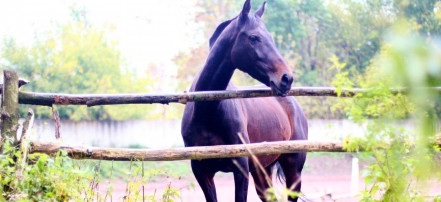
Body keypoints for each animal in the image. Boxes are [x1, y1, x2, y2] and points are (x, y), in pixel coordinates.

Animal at [180, 0, 308, 201]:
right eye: (254, 37)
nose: (286, 78)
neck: (206, 111)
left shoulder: (241, 170)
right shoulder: (202, 172)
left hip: (293, 171)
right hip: (262, 171)